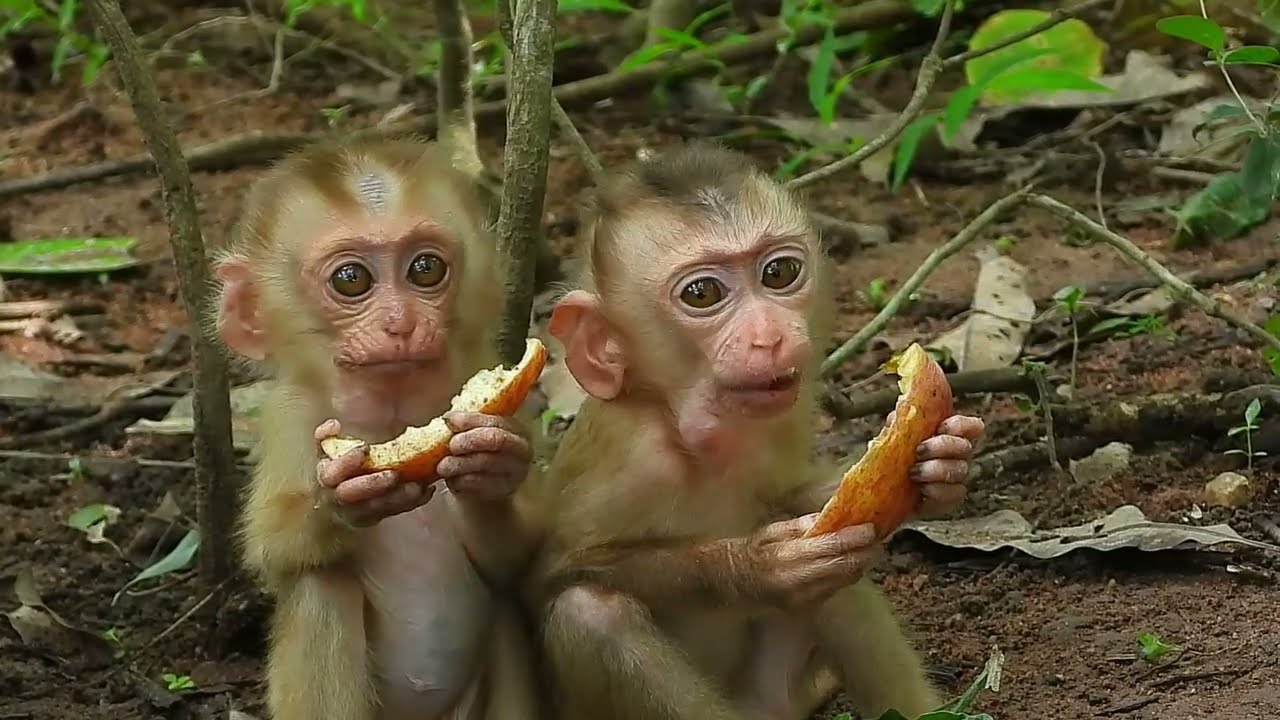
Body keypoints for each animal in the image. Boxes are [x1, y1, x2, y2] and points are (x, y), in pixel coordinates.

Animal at [212, 136, 546, 720]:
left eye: (426, 269)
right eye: (352, 280)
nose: (401, 323)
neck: (392, 415)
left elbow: (518, 556)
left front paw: (493, 466)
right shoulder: (290, 418)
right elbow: (272, 549)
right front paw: (341, 499)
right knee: (323, 587)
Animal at [524, 142, 985, 720]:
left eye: (780, 272)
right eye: (702, 294)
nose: (768, 337)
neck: (694, 436)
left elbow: (796, 498)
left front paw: (943, 464)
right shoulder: (631, 456)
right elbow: (552, 575)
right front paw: (755, 566)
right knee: (590, 616)